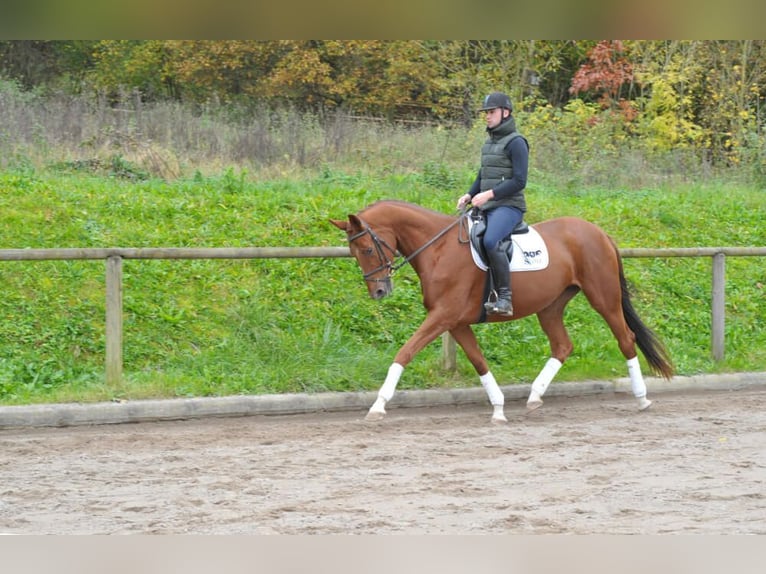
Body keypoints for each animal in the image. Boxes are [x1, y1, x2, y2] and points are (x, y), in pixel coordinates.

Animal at [328, 200, 676, 426]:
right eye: (354, 252)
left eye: (368, 249)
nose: (378, 293)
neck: (437, 250)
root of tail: (599, 233)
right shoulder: (455, 322)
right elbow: (479, 362)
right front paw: (498, 409)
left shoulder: (442, 317)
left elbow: (404, 353)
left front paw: (378, 405)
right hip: (550, 306)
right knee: (563, 346)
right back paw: (534, 397)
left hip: (603, 297)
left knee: (625, 338)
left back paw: (642, 398)